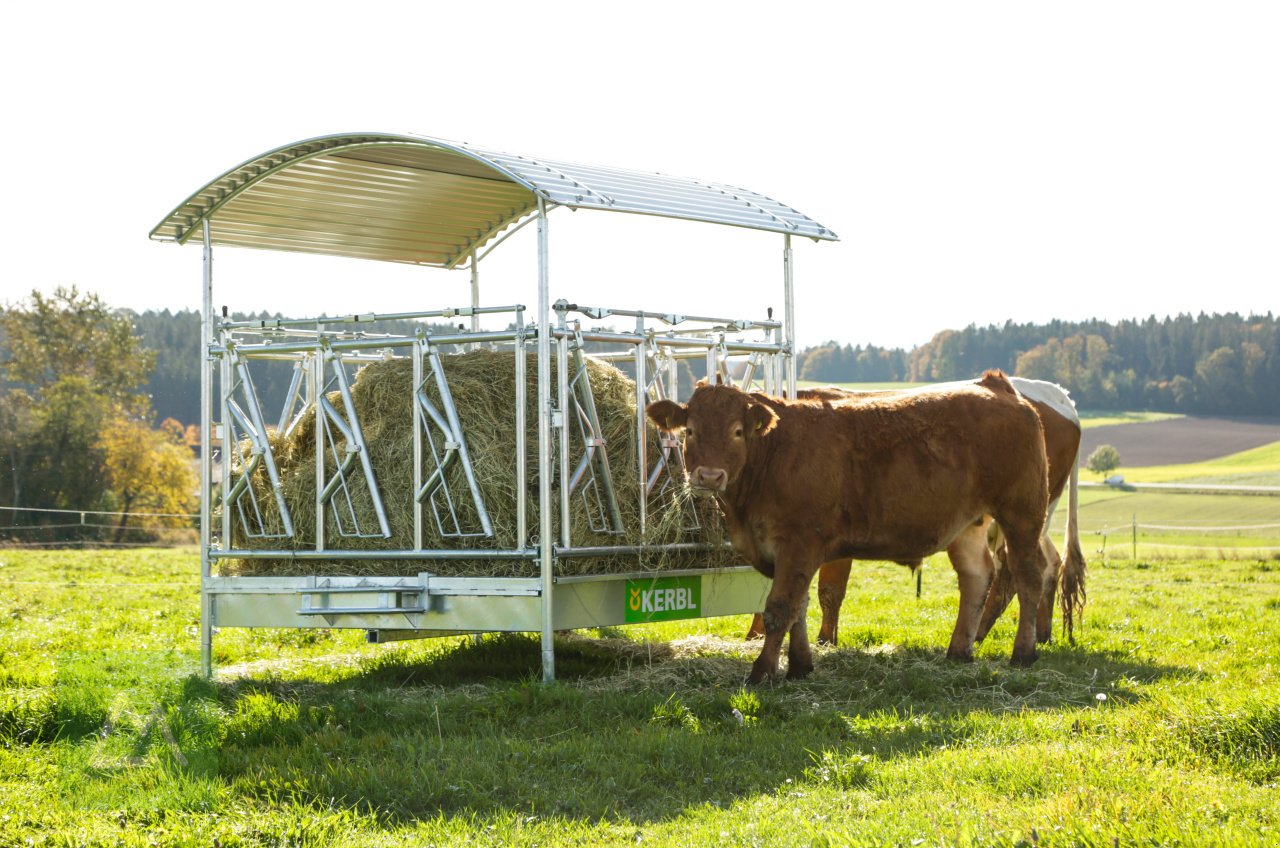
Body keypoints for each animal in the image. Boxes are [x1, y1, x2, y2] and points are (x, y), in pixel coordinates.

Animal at [650, 371, 1049, 686]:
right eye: (689, 430)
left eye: (737, 431)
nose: (709, 476)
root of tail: (995, 386)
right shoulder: (782, 552)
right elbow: (799, 607)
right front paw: (800, 666)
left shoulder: (799, 543)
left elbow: (780, 608)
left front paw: (762, 672)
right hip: (968, 524)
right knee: (976, 577)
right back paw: (959, 650)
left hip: (1023, 514)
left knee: (1028, 576)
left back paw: (1023, 653)